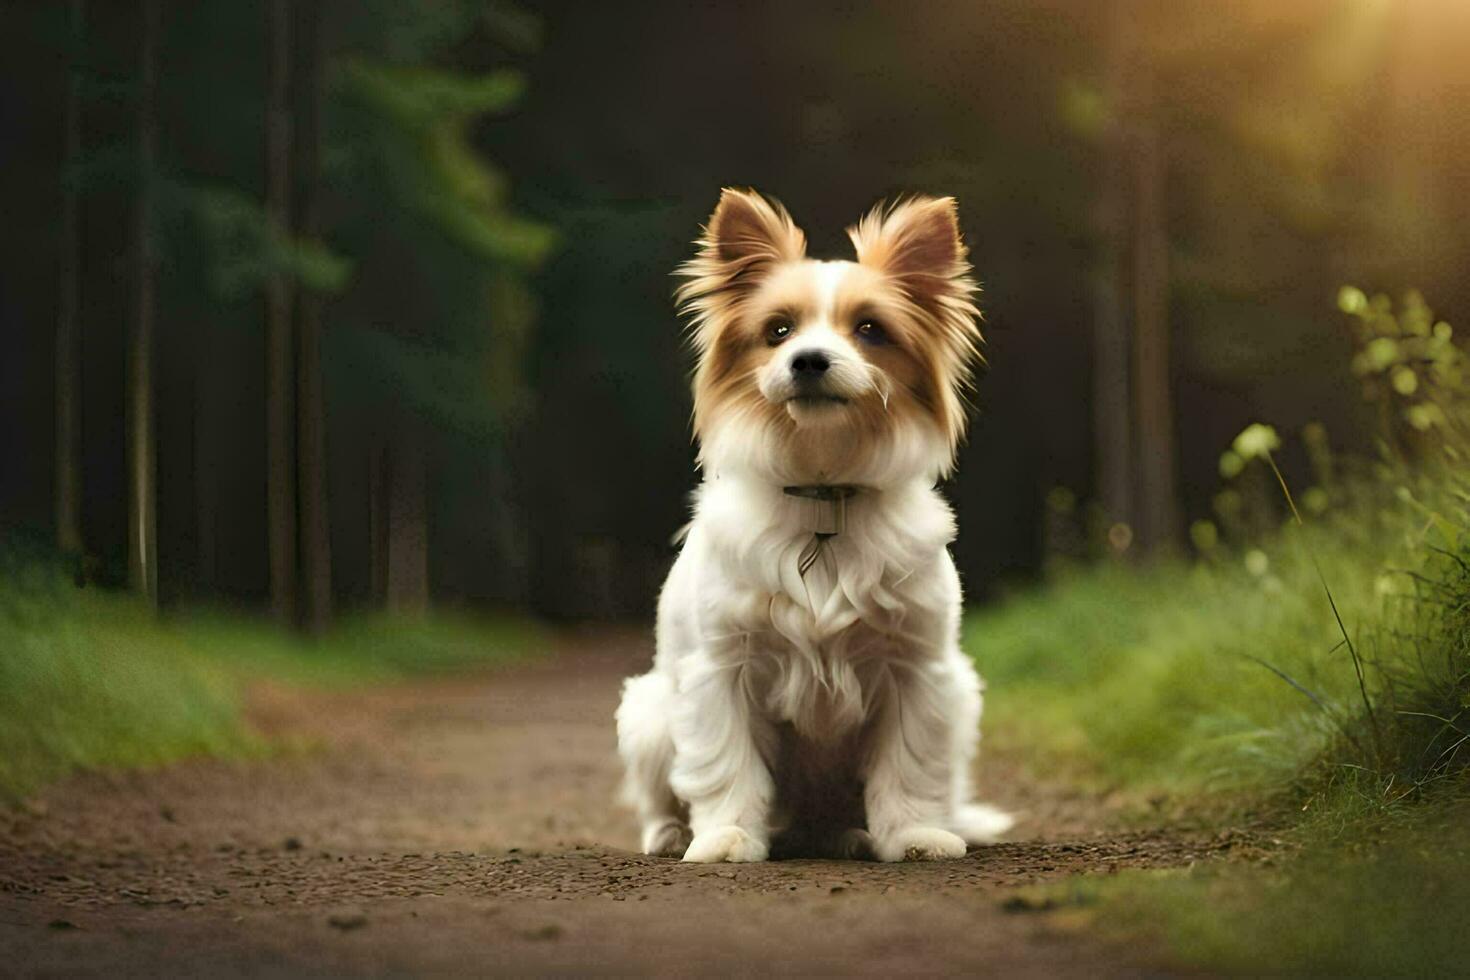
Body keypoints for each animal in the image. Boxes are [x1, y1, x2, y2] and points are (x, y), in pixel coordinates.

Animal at [611, 188, 1011, 863]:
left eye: (870, 329)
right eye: (778, 331)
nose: (808, 360)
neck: (823, 492)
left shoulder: (917, 677)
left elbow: (908, 770)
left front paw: (914, 836)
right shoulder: (721, 673)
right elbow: (727, 768)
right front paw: (727, 839)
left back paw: (854, 835)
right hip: (649, 715)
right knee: (664, 796)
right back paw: (670, 835)